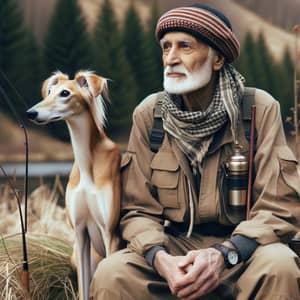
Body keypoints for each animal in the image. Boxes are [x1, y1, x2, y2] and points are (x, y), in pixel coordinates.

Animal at [26, 71, 120, 300]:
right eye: (49, 91)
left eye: (65, 93)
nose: (30, 113)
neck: (88, 165)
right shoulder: (80, 232)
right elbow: (83, 291)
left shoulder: (109, 233)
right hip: (77, 255)